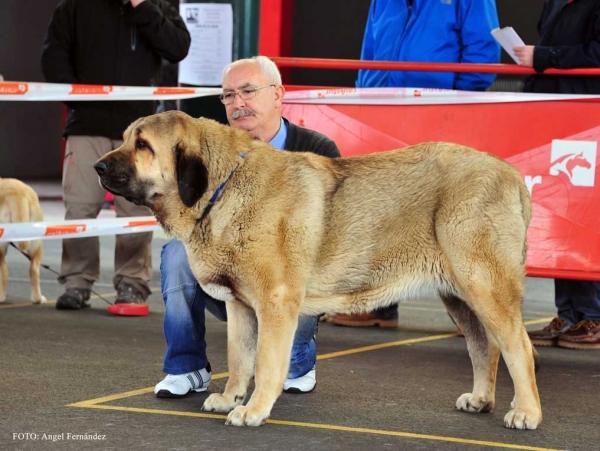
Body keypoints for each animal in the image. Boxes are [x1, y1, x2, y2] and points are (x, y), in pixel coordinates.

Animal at [95, 110, 544, 430]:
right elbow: (239, 359)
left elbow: (265, 363)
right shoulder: (242, 306)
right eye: (126, 139)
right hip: (459, 295)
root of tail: (511, 174)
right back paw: (481, 399)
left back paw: (526, 412)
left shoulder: (275, 304)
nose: (99, 166)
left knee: (518, 347)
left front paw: (253, 410)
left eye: (143, 145)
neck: (224, 187)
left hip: (484, 284)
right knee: (484, 347)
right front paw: (230, 398)